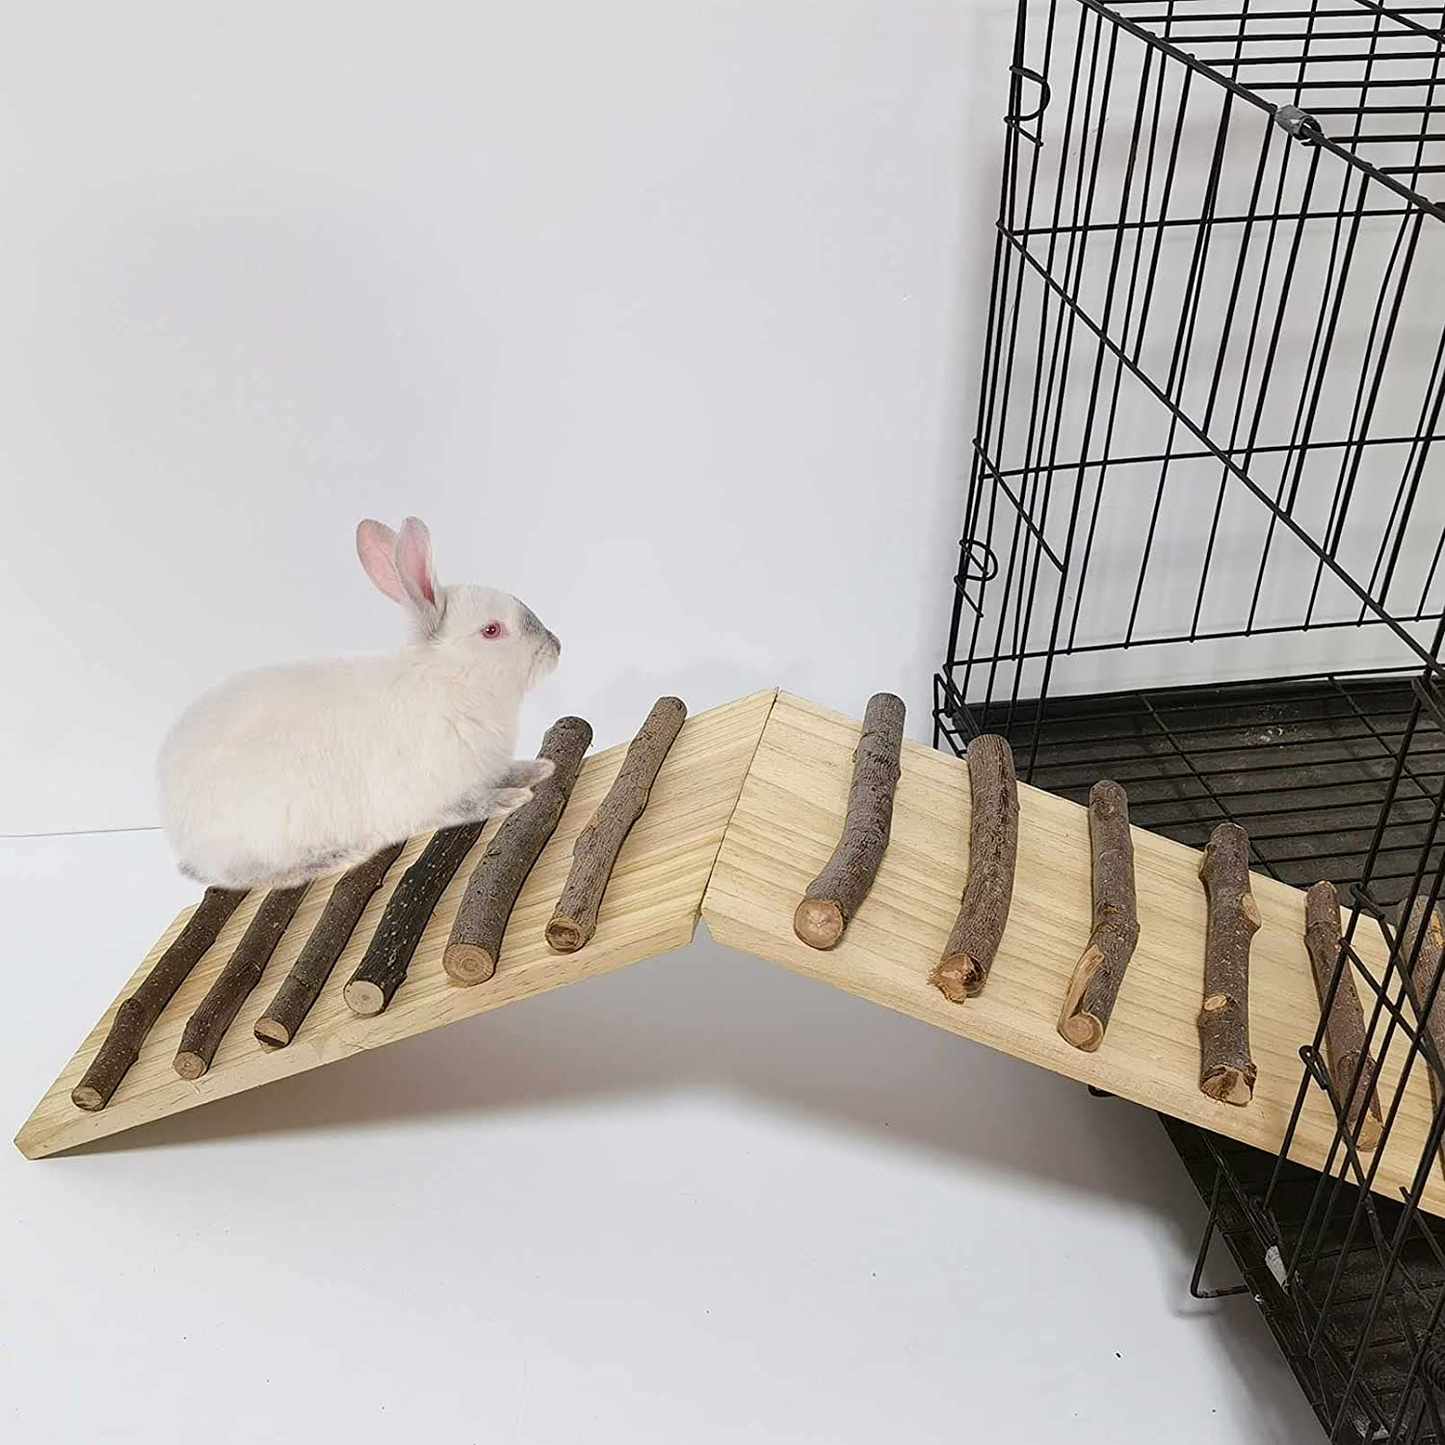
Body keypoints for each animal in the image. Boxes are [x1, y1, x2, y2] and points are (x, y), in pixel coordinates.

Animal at [157, 515, 561, 890]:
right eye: (492, 630)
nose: (556, 646)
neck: (450, 679)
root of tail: (181, 836)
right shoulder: (434, 794)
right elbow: (468, 806)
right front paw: (512, 799)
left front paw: (540, 768)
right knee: (252, 876)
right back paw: (338, 856)